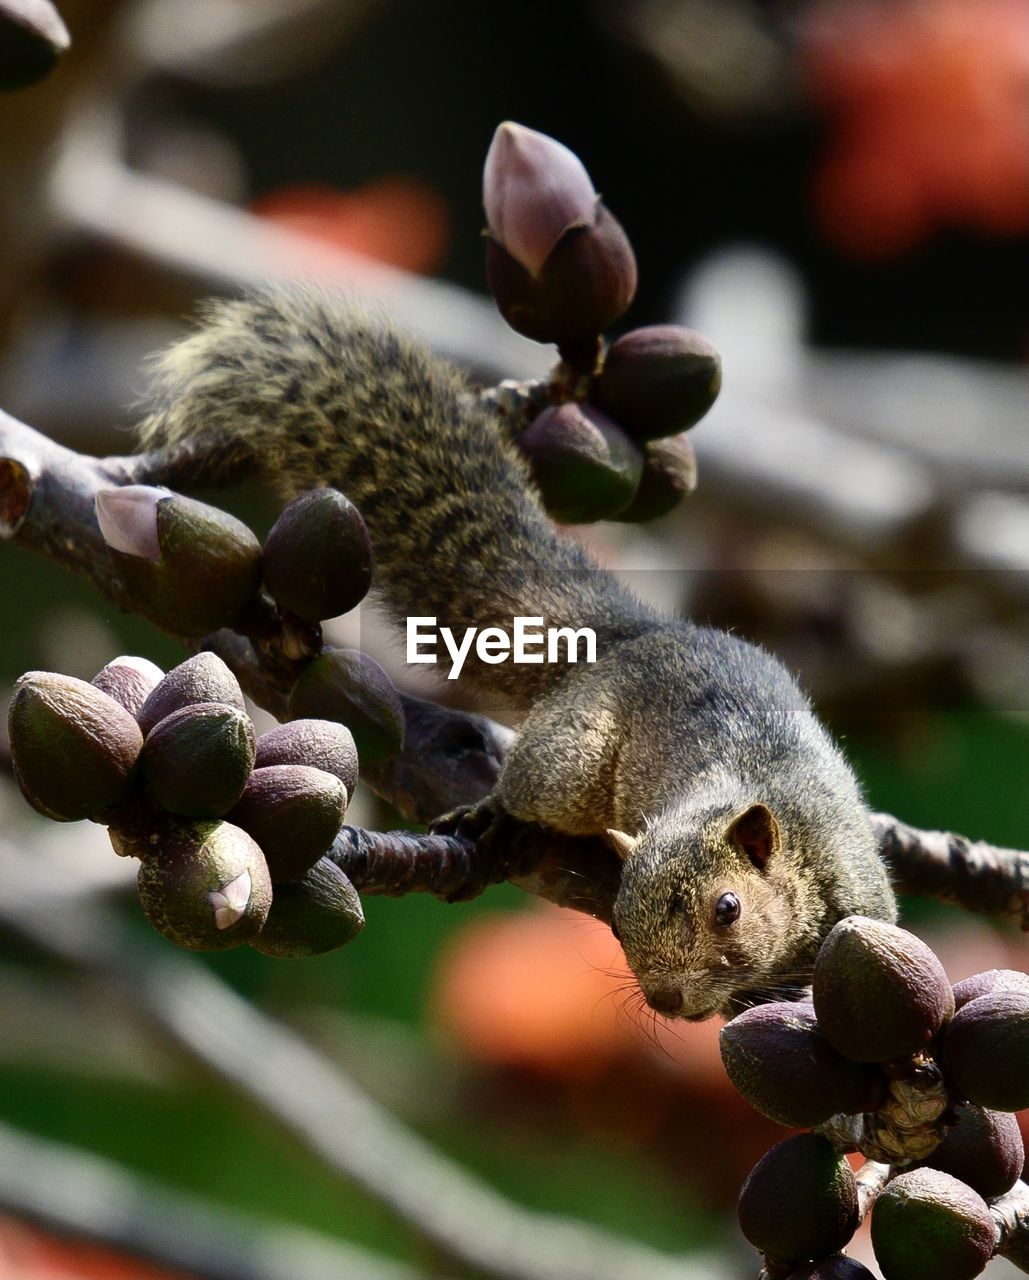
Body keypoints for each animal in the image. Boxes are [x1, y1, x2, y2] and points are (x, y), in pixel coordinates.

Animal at [138, 290, 901, 1018]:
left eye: (728, 908)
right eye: (619, 917)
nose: (665, 1001)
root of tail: (635, 635)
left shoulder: (859, 894)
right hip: (571, 761)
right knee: (534, 783)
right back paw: (497, 813)